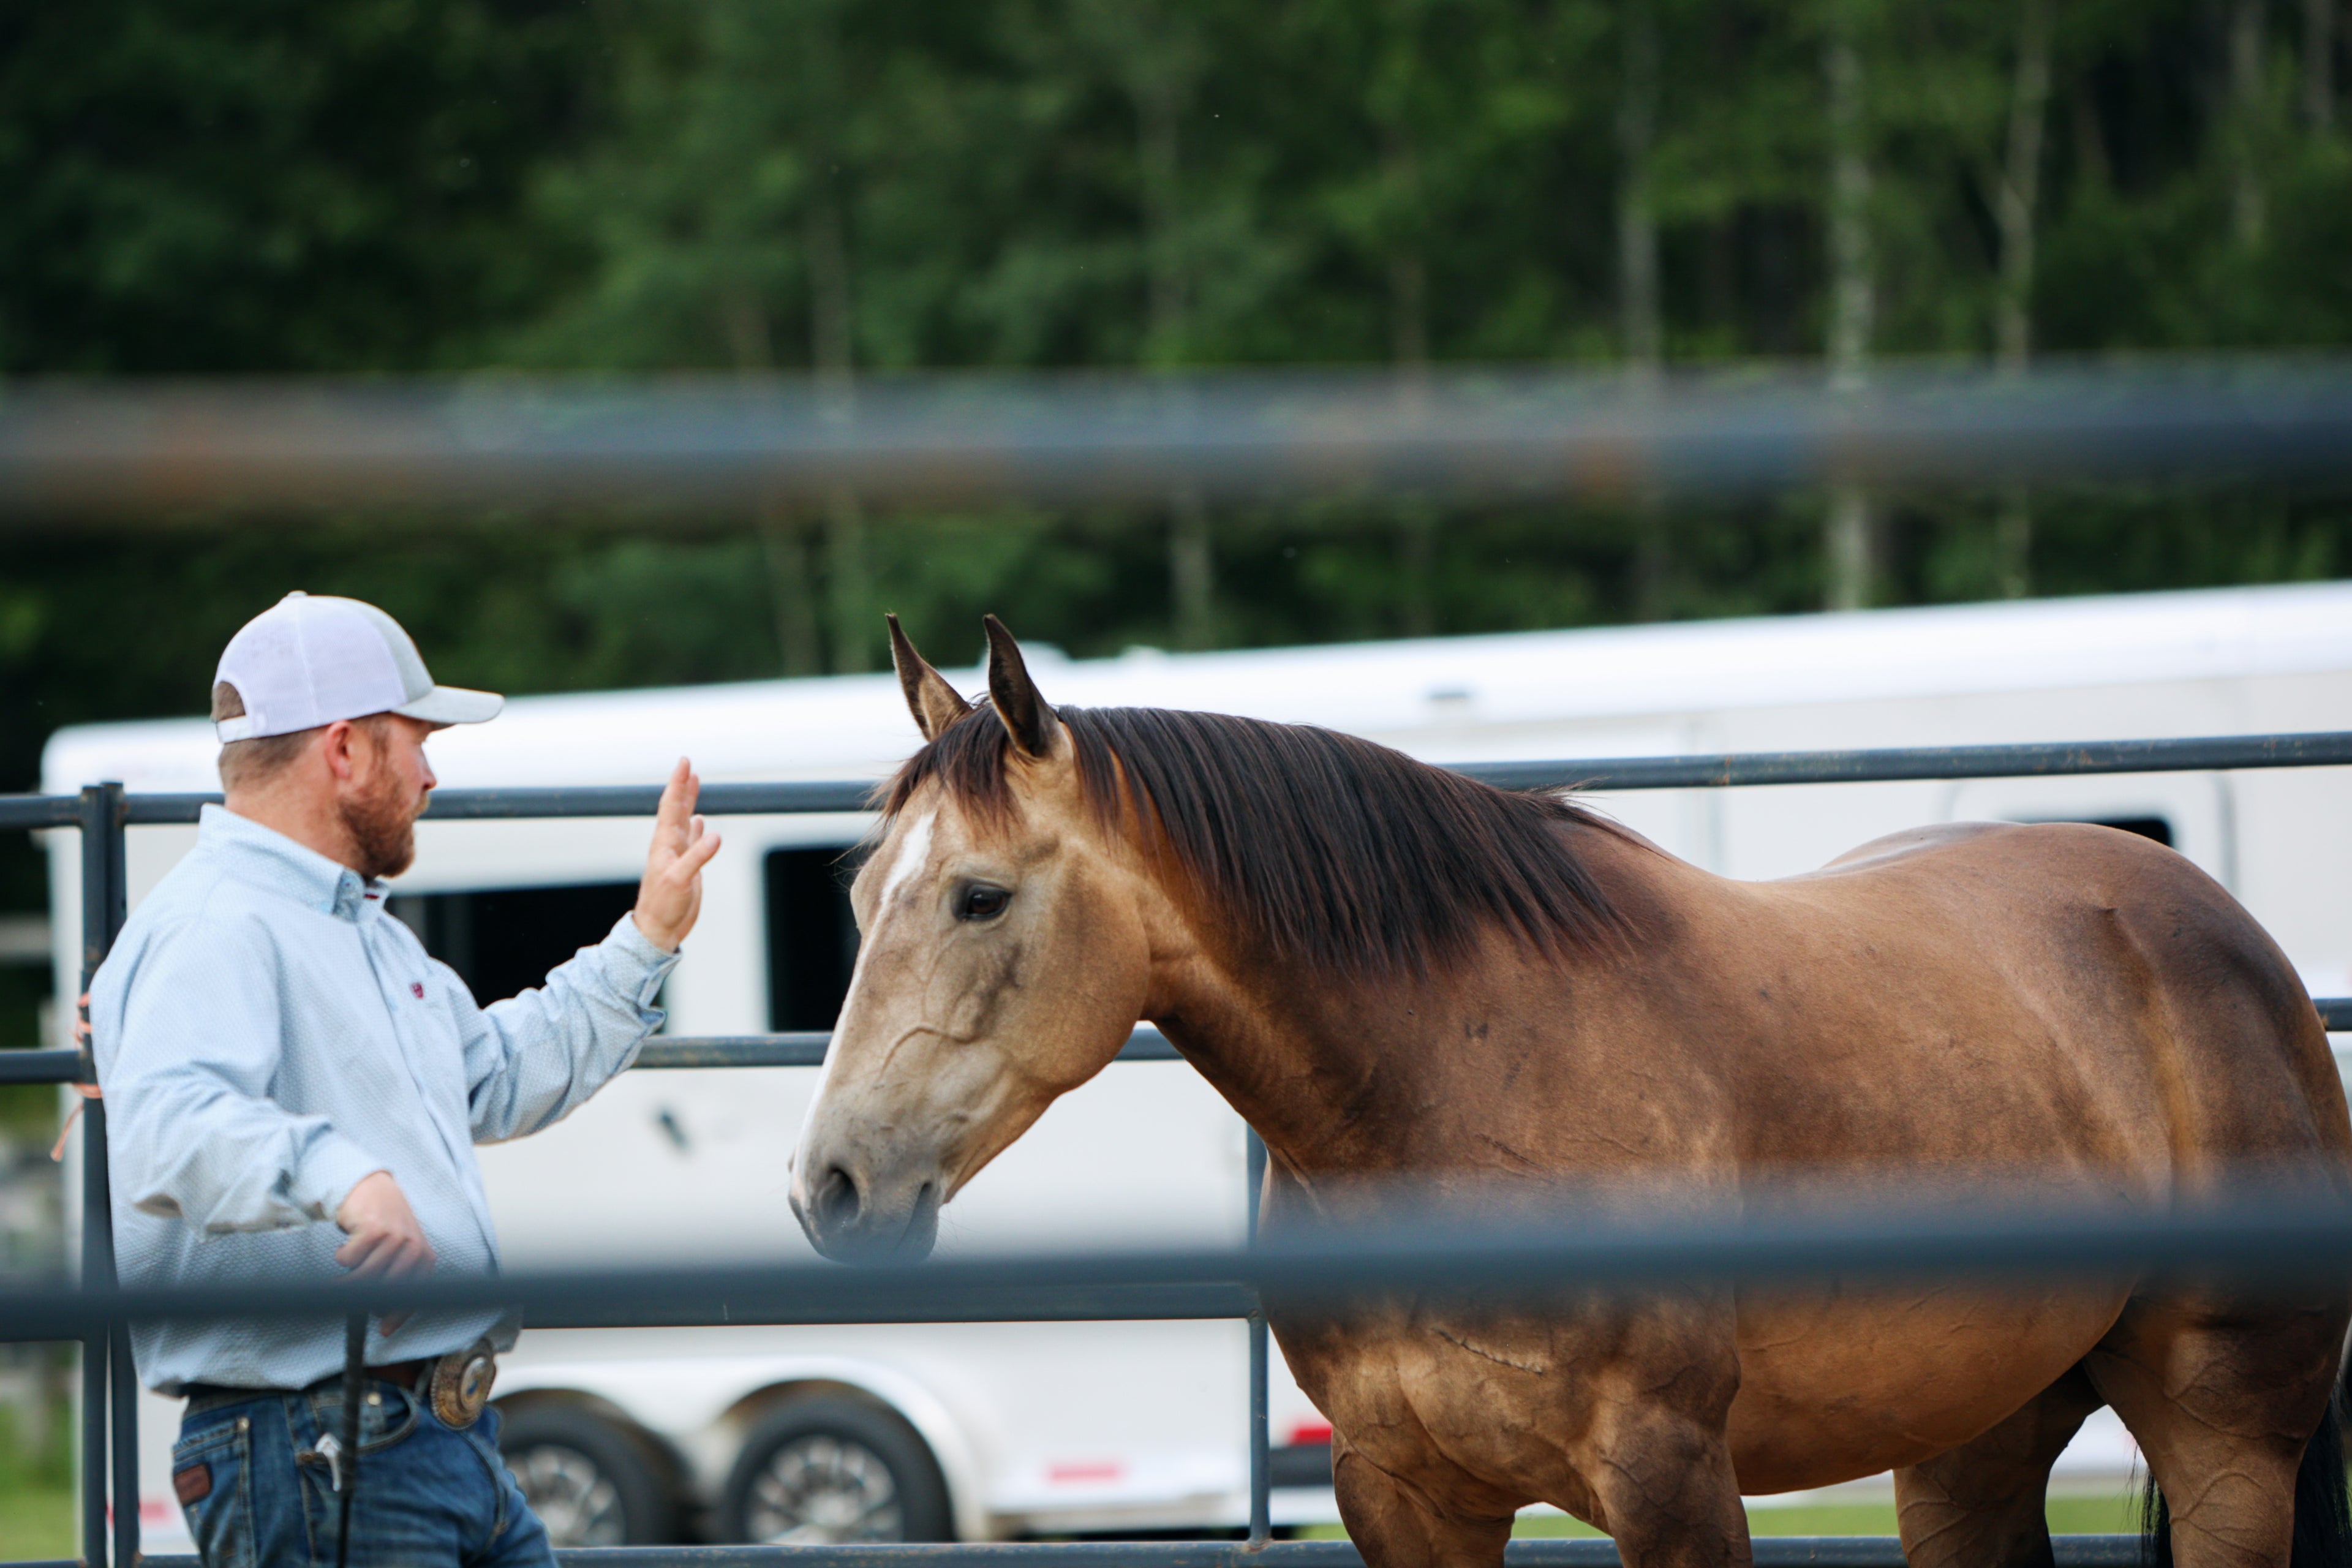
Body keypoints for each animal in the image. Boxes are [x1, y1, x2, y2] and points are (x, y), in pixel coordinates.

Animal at [790, 613, 2352, 1568]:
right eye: (856, 898)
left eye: (980, 895)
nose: (831, 1187)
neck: (1453, 1092)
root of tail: (2221, 938)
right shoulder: (1403, 1489)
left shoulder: (1669, 1480)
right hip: (1973, 1435)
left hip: (2225, 1432)